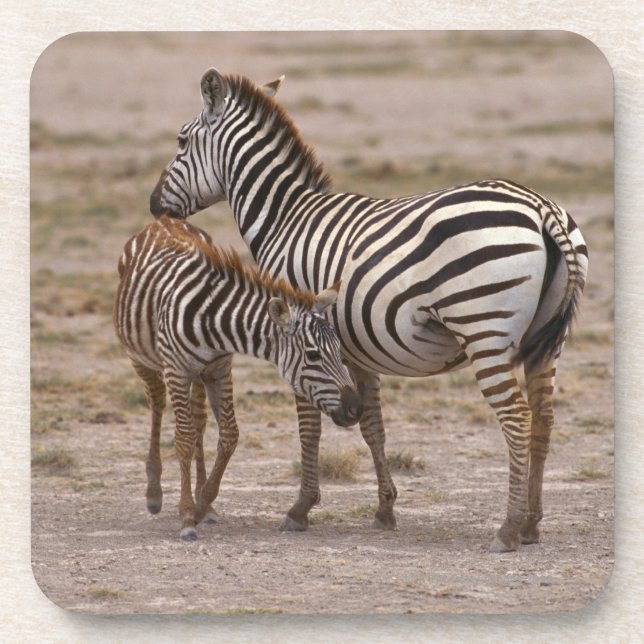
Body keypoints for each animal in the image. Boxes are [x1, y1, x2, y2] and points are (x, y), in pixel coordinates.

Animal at [113, 215, 362, 540]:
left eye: (338, 350)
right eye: (313, 355)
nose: (355, 409)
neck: (211, 320)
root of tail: (164, 220)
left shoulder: (220, 369)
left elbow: (229, 434)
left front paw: (203, 504)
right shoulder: (177, 370)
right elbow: (182, 438)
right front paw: (187, 515)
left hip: (200, 375)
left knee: (199, 422)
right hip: (141, 357)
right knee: (157, 403)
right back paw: (154, 493)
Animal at [148, 69, 589, 552]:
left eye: (181, 141)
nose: (154, 206)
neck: (285, 218)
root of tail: (541, 207)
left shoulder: (299, 337)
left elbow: (310, 425)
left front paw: (300, 509)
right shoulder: (356, 349)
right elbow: (372, 425)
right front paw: (385, 510)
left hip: (483, 331)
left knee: (517, 419)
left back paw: (508, 529)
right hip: (546, 342)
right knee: (544, 419)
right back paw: (531, 524)